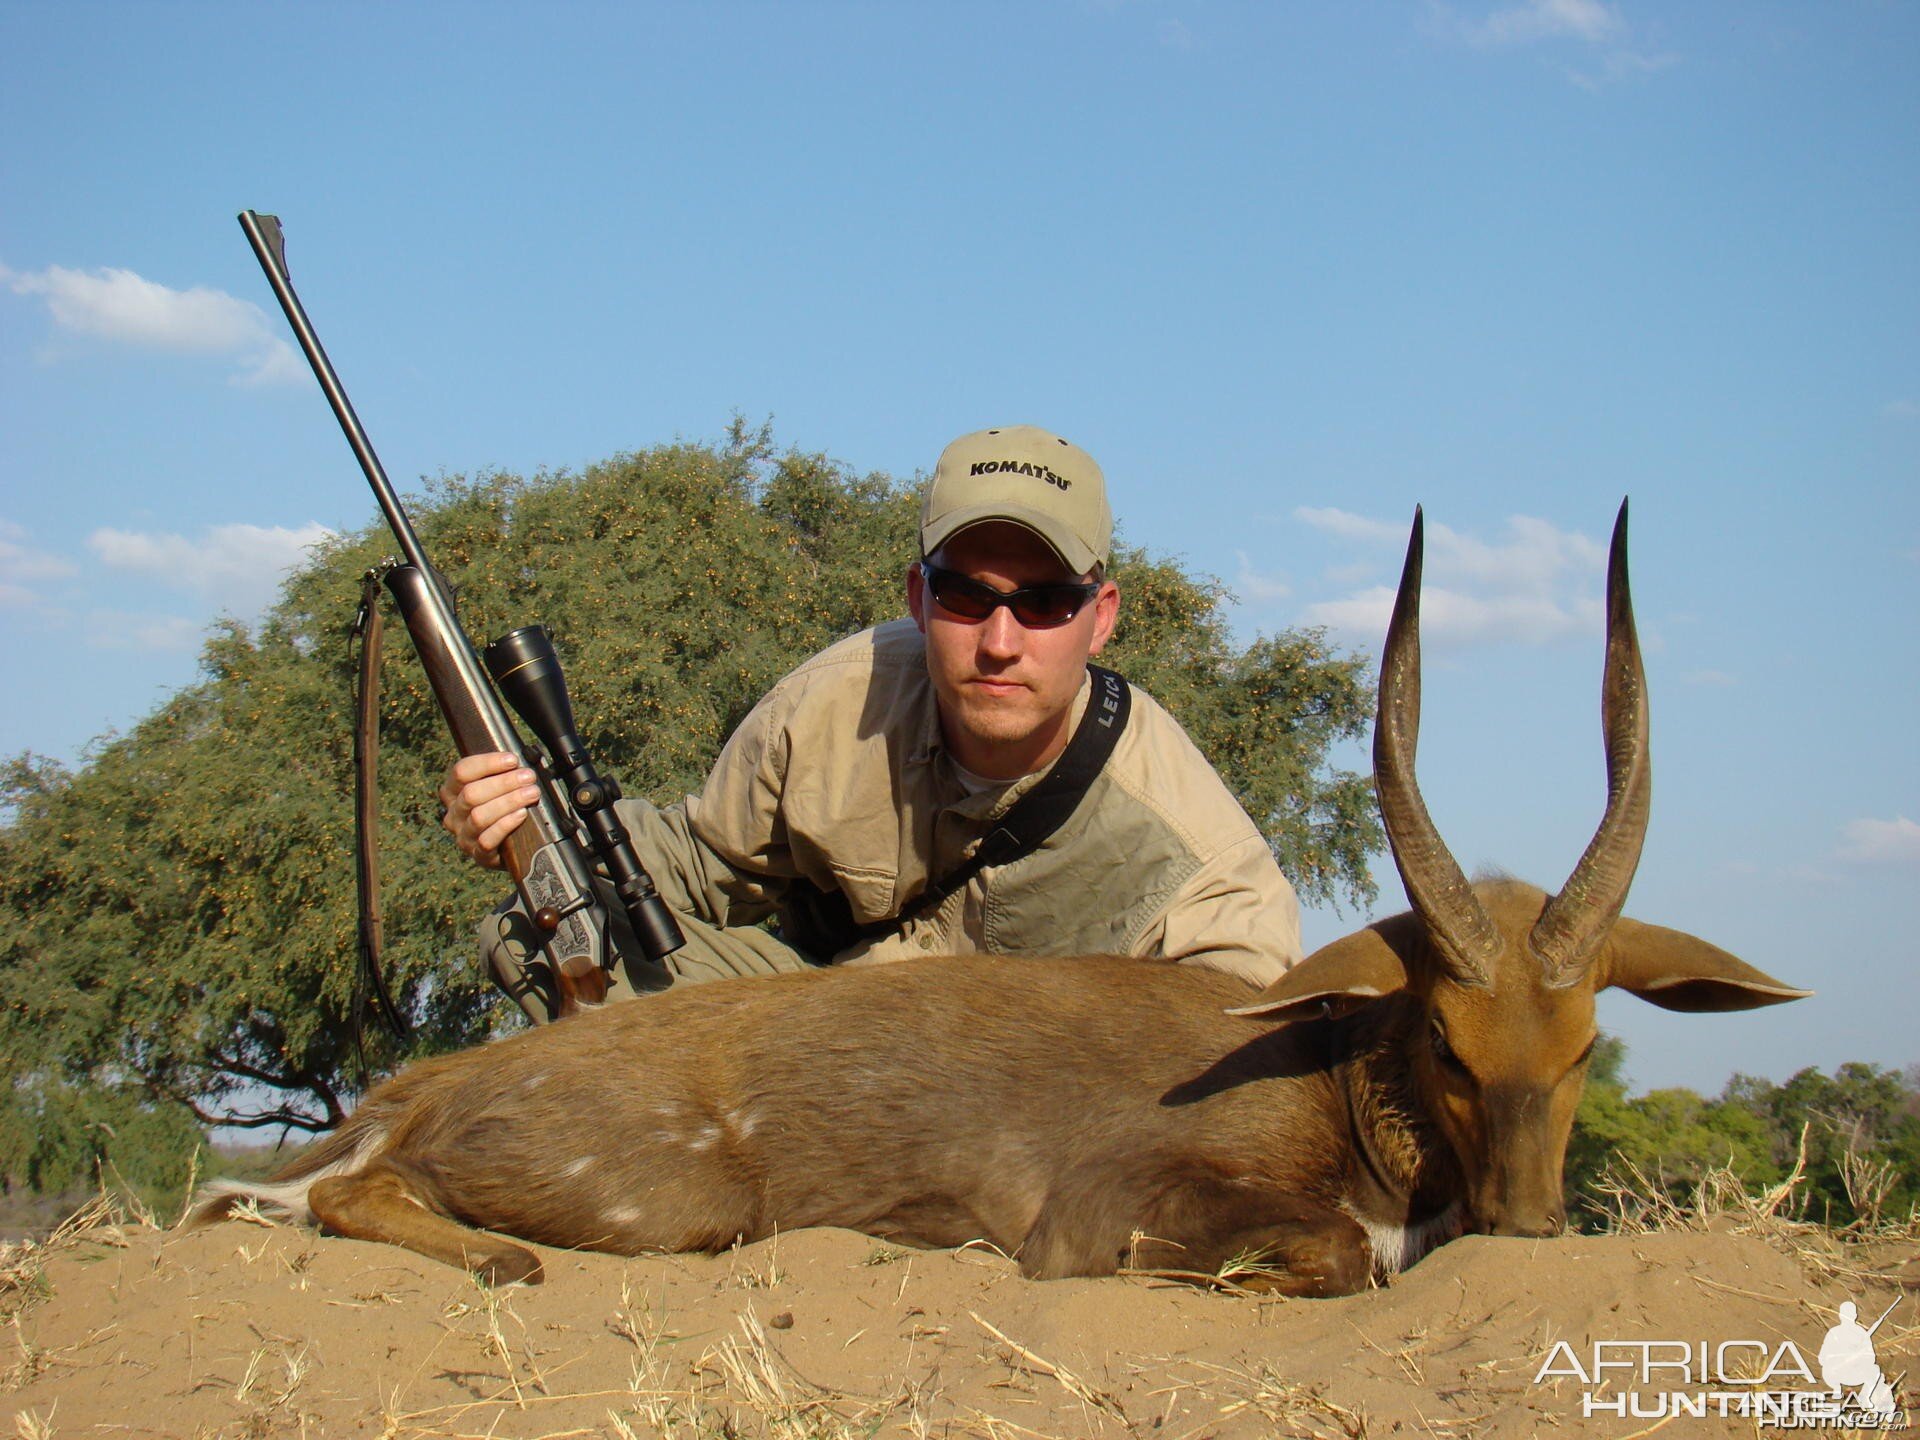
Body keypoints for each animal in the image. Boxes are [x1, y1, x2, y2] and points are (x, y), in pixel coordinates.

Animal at [198, 503, 1812, 1297]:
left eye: (1585, 1048)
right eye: (1447, 1044)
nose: (1529, 1231)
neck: (1325, 1076)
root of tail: (419, 1085)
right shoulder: (1107, 1215)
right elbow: (1339, 1255)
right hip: (669, 1204)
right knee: (327, 1196)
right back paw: (496, 1260)